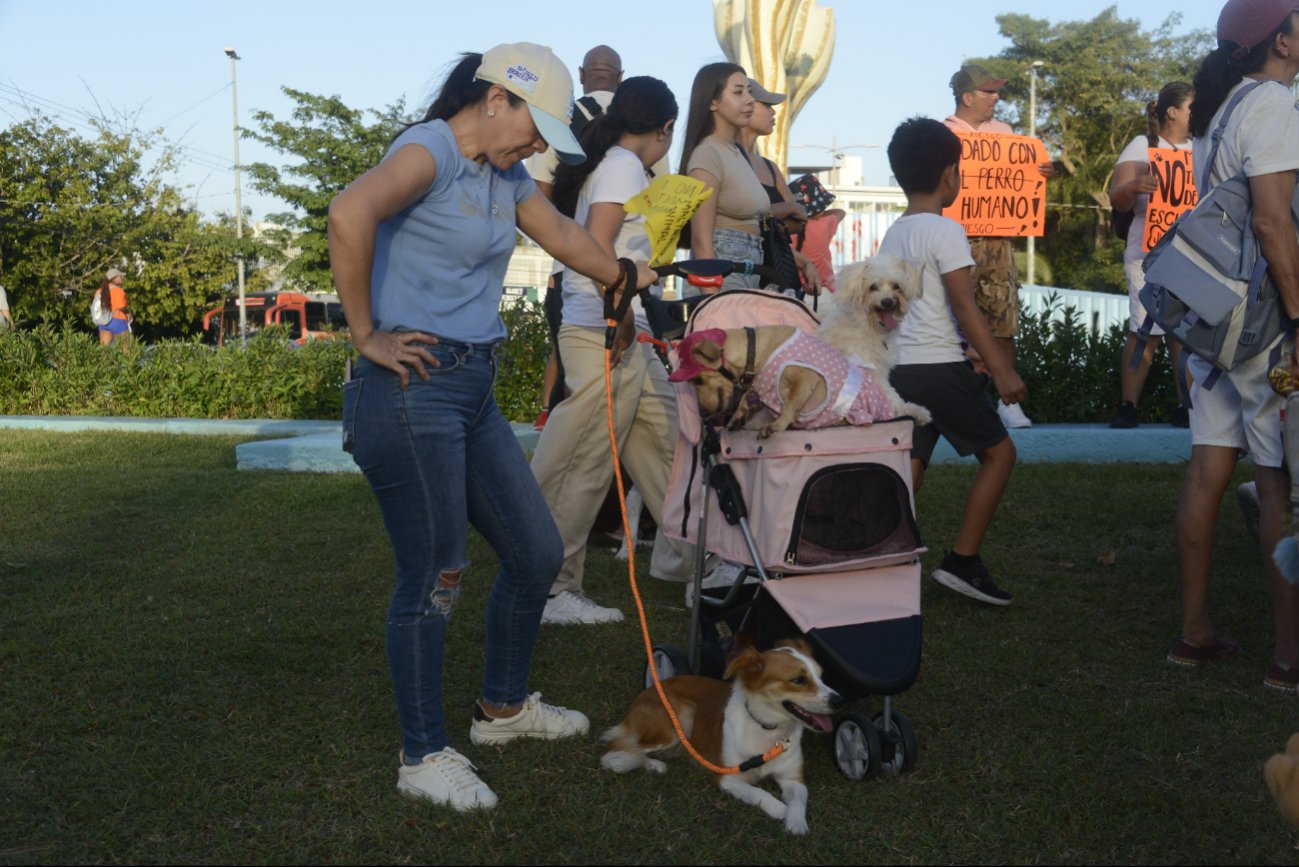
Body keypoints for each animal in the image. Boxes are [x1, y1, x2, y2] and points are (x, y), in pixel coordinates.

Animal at [597, 642, 841, 837]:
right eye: (799, 680)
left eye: (821, 676)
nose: (839, 700)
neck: (766, 728)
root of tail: (655, 684)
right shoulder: (728, 778)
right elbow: (757, 792)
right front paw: (780, 808)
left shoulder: (793, 778)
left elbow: (799, 800)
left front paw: (796, 821)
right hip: (681, 716)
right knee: (618, 751)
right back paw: (652, 763)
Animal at [670, 324, 904, 436]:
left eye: (698, 380)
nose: (702, 414)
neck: (756, 352)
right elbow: (745, 399)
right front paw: (736, 418)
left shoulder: (806, 378)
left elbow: (790, 404)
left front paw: (778, 425)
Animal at [815, 252, 930, 426]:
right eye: (872, 287)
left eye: (896, 286)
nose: (887, 301)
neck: (869, 327)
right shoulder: (872, 371)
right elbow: (888, 395)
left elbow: (892, 395)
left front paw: (914, 411)